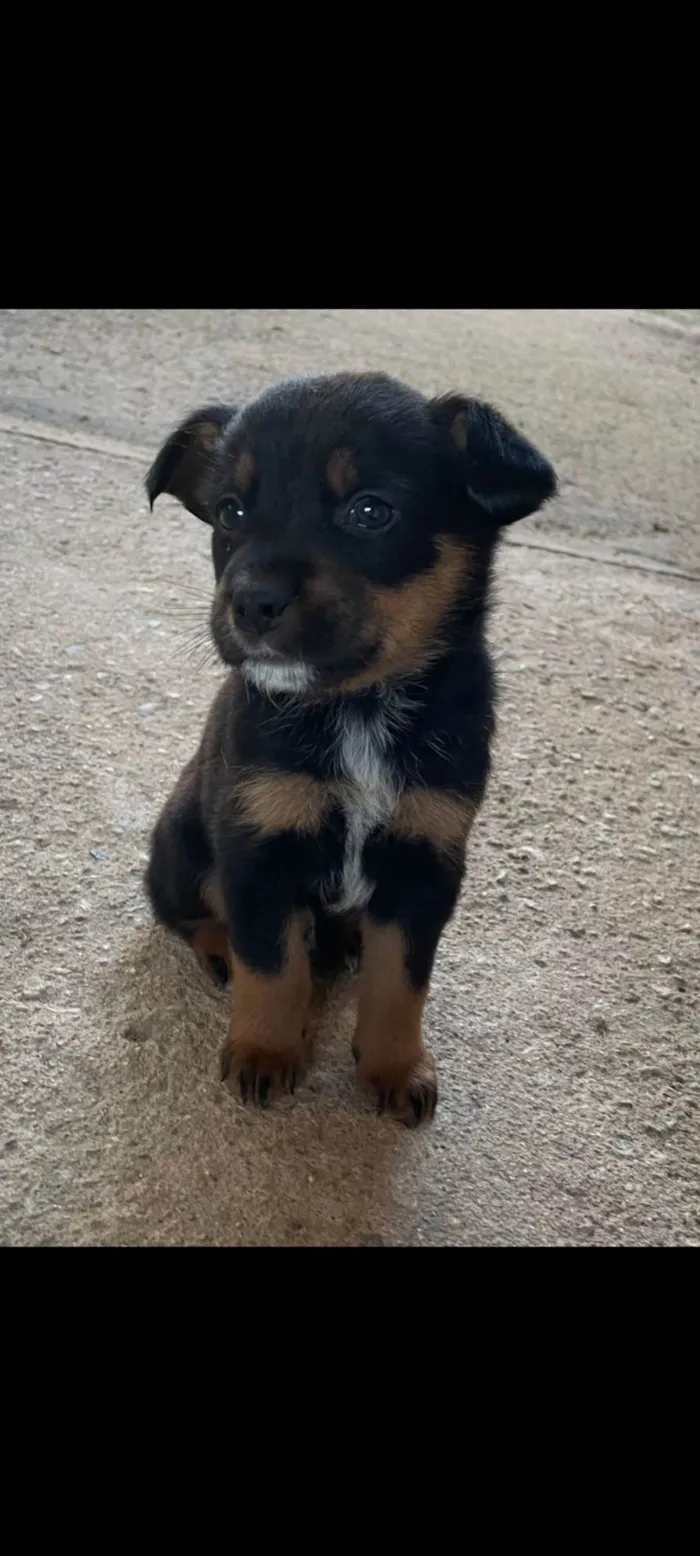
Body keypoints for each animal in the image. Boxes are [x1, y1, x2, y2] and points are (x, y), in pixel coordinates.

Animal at [143, 376, 556, 1132]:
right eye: (229, 512)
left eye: (370, 512)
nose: (251, 603)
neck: (357, 708)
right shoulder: (256, 850)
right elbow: (272, 968)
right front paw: (265, 1053)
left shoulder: (428, 858)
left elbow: (402, 982)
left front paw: (396, 1068)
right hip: (180, 844)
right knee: (187, 912)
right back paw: (219, 951)